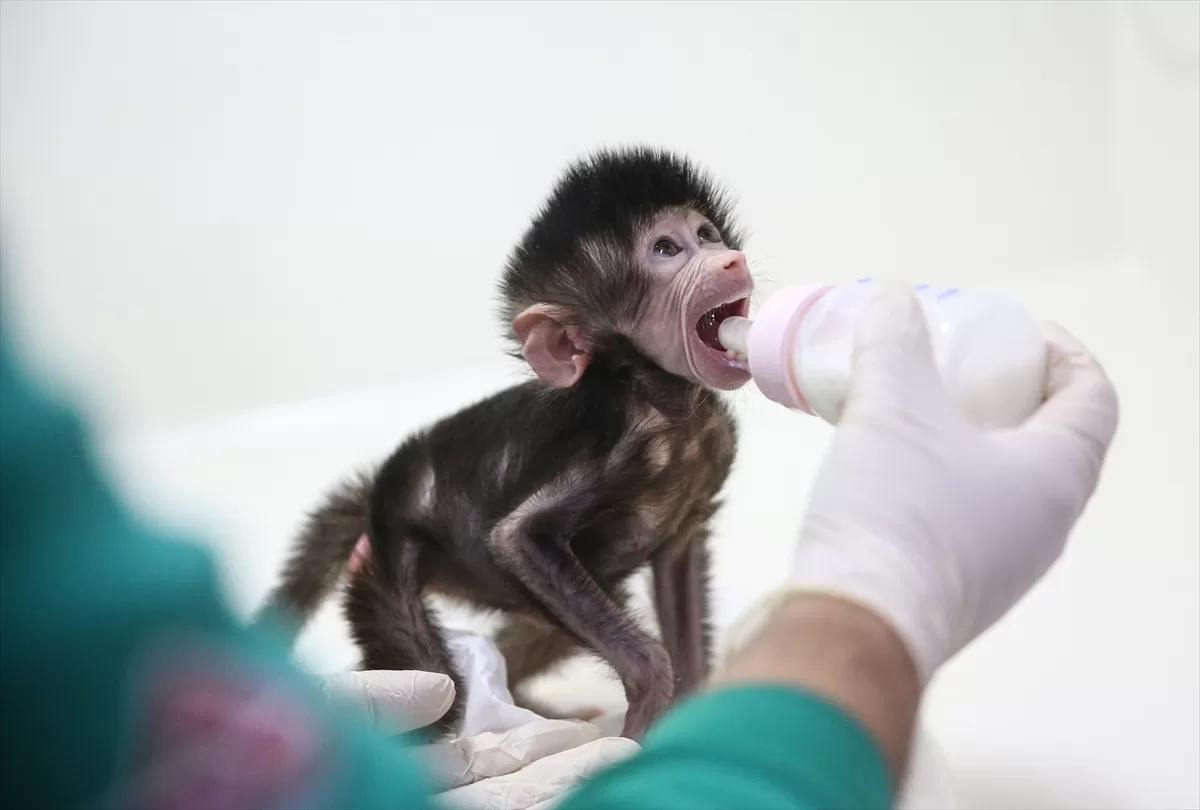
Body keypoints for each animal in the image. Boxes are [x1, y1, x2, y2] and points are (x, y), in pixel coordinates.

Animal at [256, 146, 754, 741]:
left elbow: (679, 573)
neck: (671, 413)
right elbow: (519, 540)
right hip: (391, 548)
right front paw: (646, 701)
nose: (729, 261)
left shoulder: (710, 455)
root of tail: (381, 486)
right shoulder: (616, 442)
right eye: (666, 250)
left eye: (706, 235)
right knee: (432, 676)